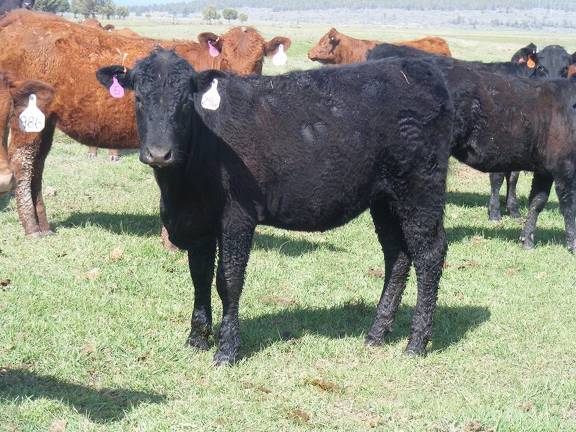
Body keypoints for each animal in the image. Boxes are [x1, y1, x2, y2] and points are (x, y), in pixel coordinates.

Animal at [99, 49, 454, 364]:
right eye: (138, 98)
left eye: (186, 102)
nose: (159, 153)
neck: (181, 190)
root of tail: (418, 68)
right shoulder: (198, 223)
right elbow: (199, 276)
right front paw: (197, 338)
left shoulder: (238, 216)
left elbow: (228, 280)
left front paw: (226, 350)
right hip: (384, 199)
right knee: (397, 256)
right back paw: (376, 334)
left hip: (421, 188)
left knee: (429, 255)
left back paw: (416, 343)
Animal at [490, 44, 576, 221]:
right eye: (541, 67)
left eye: (565, 69)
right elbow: (498, 177)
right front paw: (494, 212)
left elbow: (513, 177)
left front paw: (513, 209)